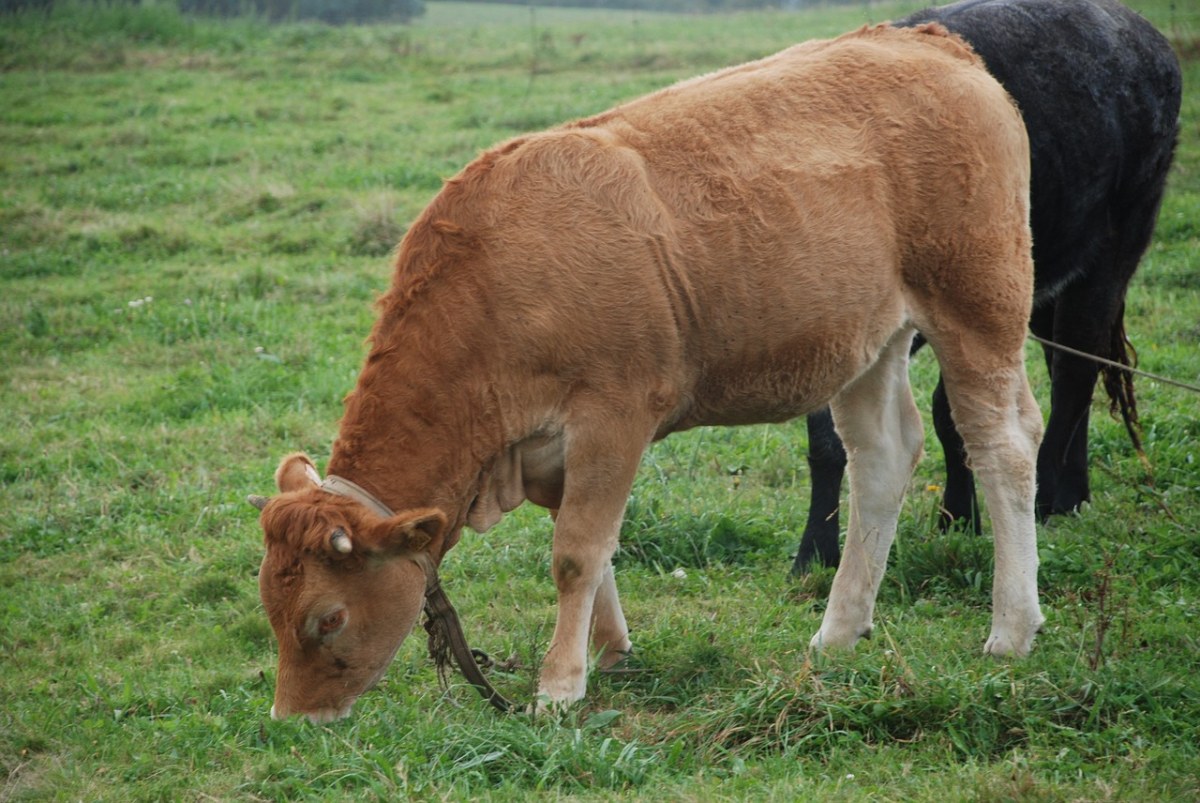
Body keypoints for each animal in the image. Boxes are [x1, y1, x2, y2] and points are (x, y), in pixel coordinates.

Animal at [246, 23, 1041, 720]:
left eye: (327, 617)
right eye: (270, 607)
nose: (293, 718)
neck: (495, 280)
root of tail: (928, 40)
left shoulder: (612, 414)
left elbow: (576, 552)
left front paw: (558, 687)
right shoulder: (551, 450)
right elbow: (593, 550)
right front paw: (611, 650)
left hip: (978, 303)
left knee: (1002, 445)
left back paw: (1011, 629)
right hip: (868, 342)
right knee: (882, 457)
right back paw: (839, 630)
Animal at [787, 0, 1180, 576]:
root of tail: (1142, 34)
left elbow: (948, 413)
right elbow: (831, 439)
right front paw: (816, 553)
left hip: (1115, 248)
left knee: (1075, 373)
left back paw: (1047, 500)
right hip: (1042, 282)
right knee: (1069, 367)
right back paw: (1074, 494)